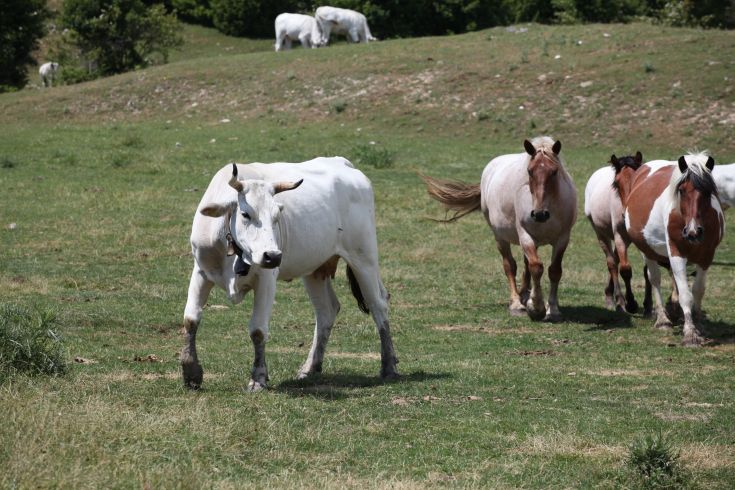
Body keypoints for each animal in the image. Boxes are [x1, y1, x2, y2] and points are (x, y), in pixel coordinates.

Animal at [423, 136, 577, 321]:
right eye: (530, 171)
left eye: (554, 172)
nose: (540, 214)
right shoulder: (525, 235)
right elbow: (536, 267)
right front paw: (536, 307)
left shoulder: (563, 238)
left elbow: (554, 271)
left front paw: (552, 309)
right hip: (500, 237)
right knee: (510, 265)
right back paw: (517, 303)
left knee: (526, 264)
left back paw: (525, 295)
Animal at [584, 152, 644, 313]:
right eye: (616, 184)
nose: (625, 214)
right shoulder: (620, 236)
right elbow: (625, 269)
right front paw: (630, 303)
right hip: (601, 233)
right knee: (611, 263)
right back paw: (616, 300)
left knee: (615, 259)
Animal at [614, 153, 724, 346]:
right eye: (681, 190)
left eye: (708, 191)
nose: (693, 232)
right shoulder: (676, 254)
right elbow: (685, 295)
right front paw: (690, 333)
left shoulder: (706, 256)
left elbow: (698, 291)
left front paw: (698, 324)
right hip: (648, 251)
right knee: (654, 279)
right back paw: (663, 320)